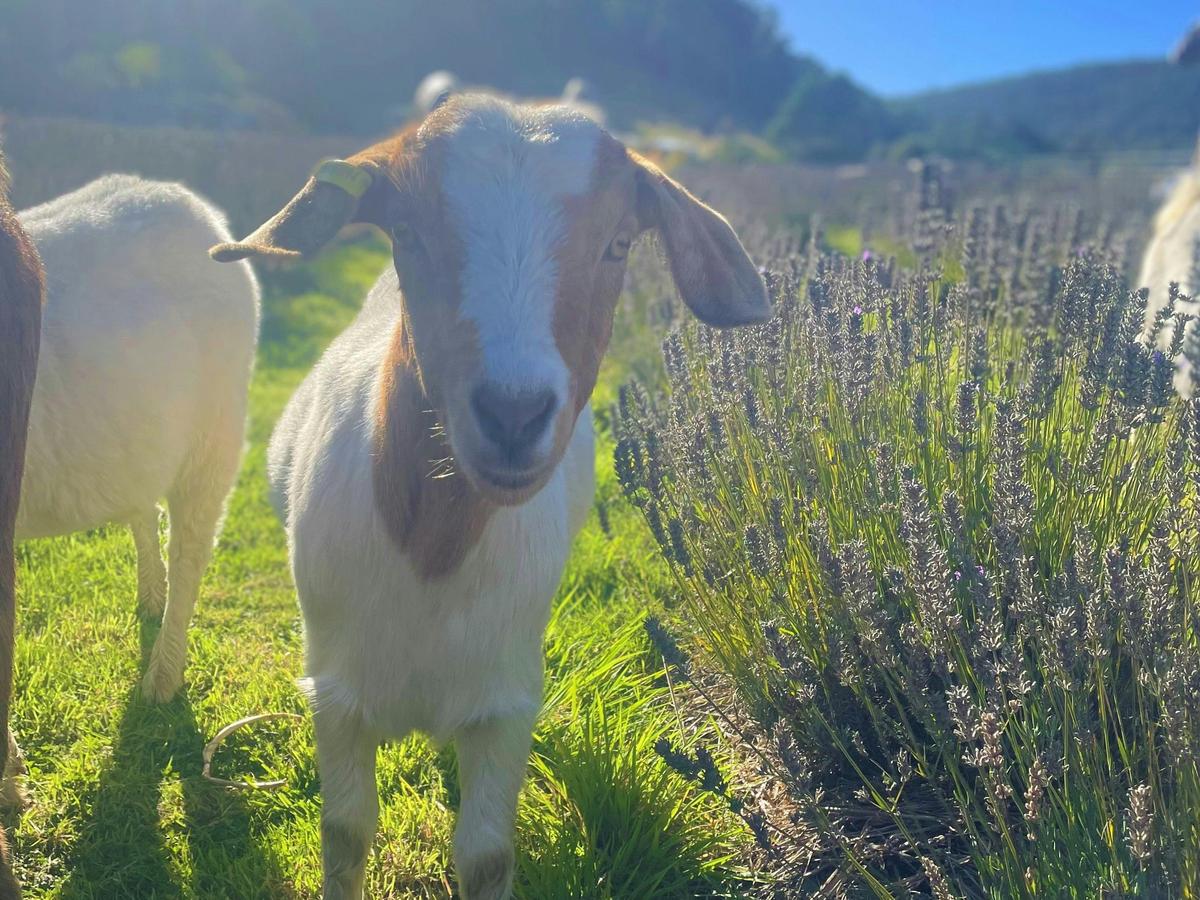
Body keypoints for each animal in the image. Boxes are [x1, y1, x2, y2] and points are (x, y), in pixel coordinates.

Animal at [211, 95, 769, 899]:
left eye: (619, 243)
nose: (513, 412)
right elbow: (345, 834)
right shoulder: (336, 692)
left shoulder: (505, 704)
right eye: (407, 233)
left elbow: (485, 855)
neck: (429, 552)